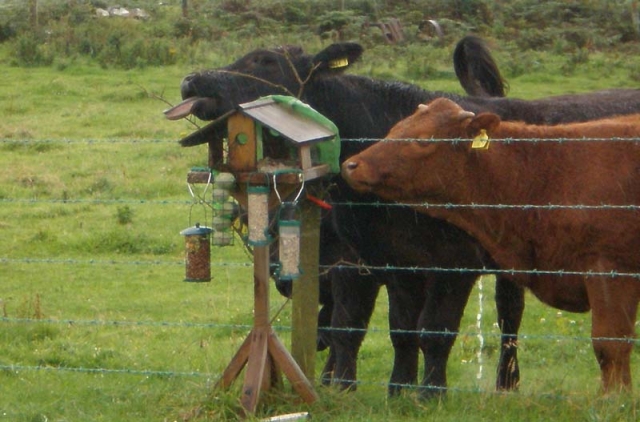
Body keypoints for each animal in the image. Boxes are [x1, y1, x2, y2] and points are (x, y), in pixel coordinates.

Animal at [342, 97, 640, 394]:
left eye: (423, 140)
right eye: (395, 128)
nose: (352, 165)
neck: (547, 172)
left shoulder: (610, 269)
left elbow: (610, 344)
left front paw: (614, 398)